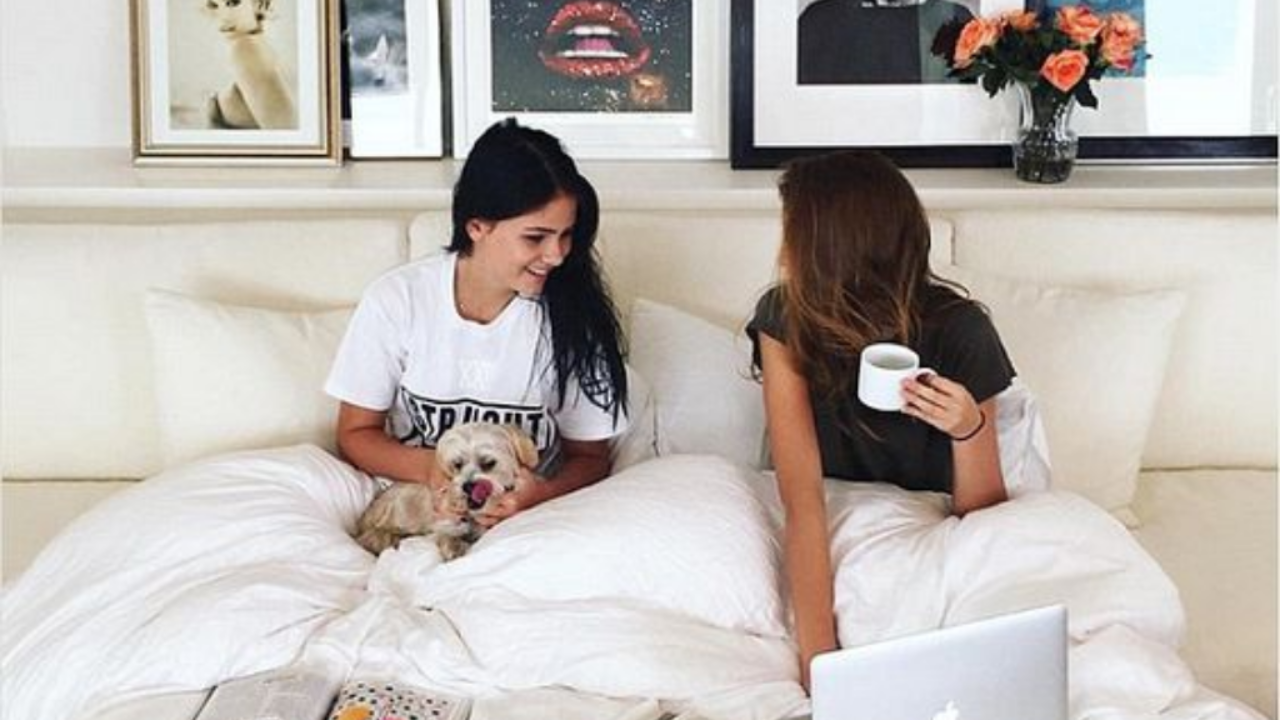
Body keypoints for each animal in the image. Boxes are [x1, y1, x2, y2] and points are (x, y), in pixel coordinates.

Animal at [354, 423, 540, 561]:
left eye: (488, 463)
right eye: (457, 464)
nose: (468, 486)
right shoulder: (442, 521)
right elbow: (446, 534)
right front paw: (453, 546)